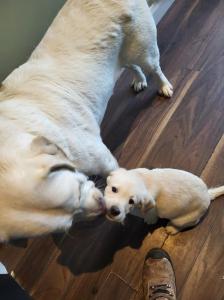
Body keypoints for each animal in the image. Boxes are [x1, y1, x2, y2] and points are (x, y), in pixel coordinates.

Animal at [0, 0, 173, 240]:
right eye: (68, 224)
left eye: (78, 186)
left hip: (142, 49)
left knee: (154, 67)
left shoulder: (104, 159)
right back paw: (139, 80)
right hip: (122, 55)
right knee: (130, 65)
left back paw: (164, 86)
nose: (103, 207)